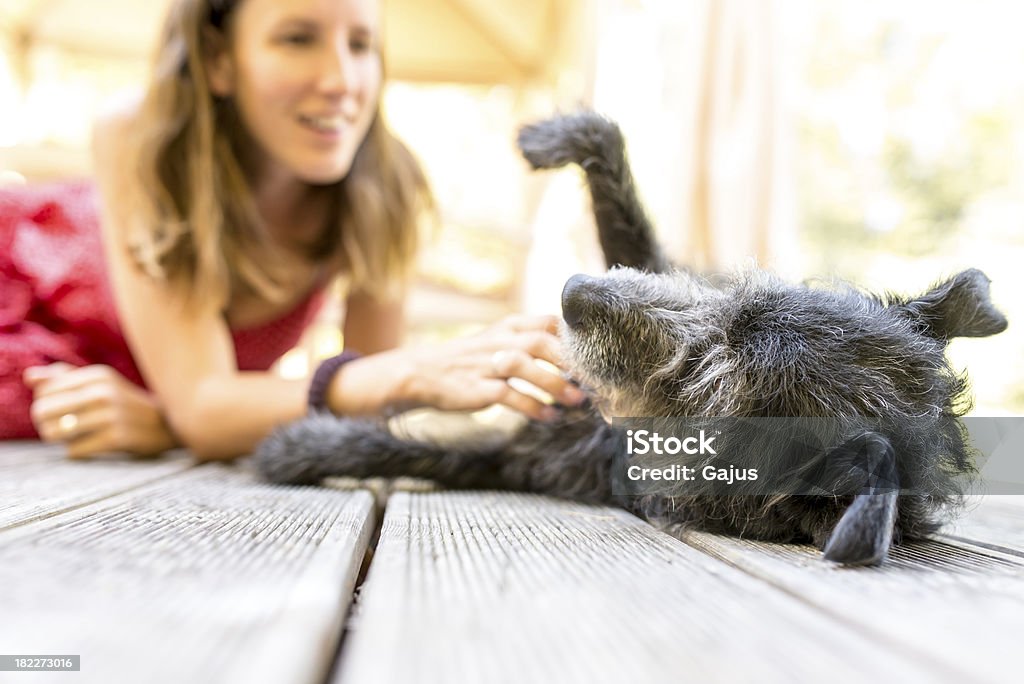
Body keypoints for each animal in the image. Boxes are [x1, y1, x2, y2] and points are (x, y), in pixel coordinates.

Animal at [256, 112, 1007, 565]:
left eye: (712, 387)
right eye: (736, 293)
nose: (573, 292)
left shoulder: (524, 461)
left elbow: (413, 449)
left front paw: (300, 447)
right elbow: (616, 176)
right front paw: (555, 139)